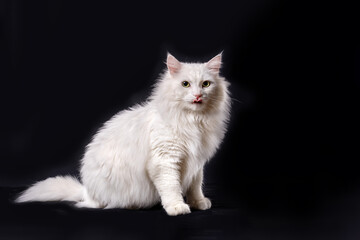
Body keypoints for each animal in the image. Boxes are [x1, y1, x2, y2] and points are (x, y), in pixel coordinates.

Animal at [15, 53, 231, 216]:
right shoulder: (165, 160)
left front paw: (199, 203)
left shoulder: (197, 162)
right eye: (185, 84)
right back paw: (133, 205)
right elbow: (171, 187)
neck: (194, 121)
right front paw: (177, 207)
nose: (198, 96)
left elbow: (195, 186)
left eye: (205, 84)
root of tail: (87, 191)